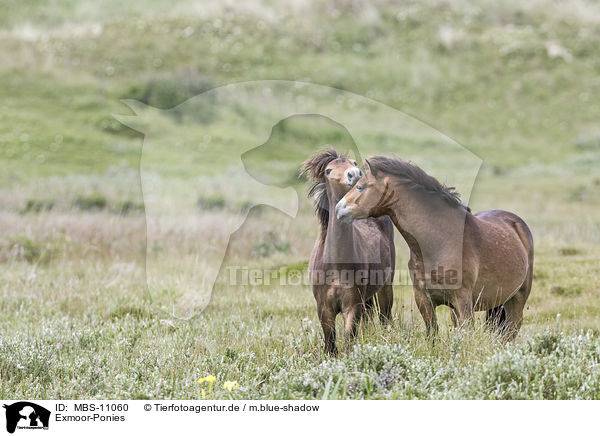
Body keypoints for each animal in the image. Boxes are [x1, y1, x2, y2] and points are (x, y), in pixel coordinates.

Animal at [302, 148, 396, 356]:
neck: (336, 264)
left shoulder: (352, 306)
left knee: (385, 318)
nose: (354, 174)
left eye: (354, 162)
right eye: (328, 170)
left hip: (386, 287)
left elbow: (348, 340)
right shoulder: (324, 309)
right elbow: (330, 344)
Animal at [338, 157, 536, 340]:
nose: (338, 209)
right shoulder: (424, 299)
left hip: (516, 300)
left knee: (510, 333)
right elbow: (432, 334)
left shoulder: (463, 300)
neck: (438, 241)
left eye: (361, 187)